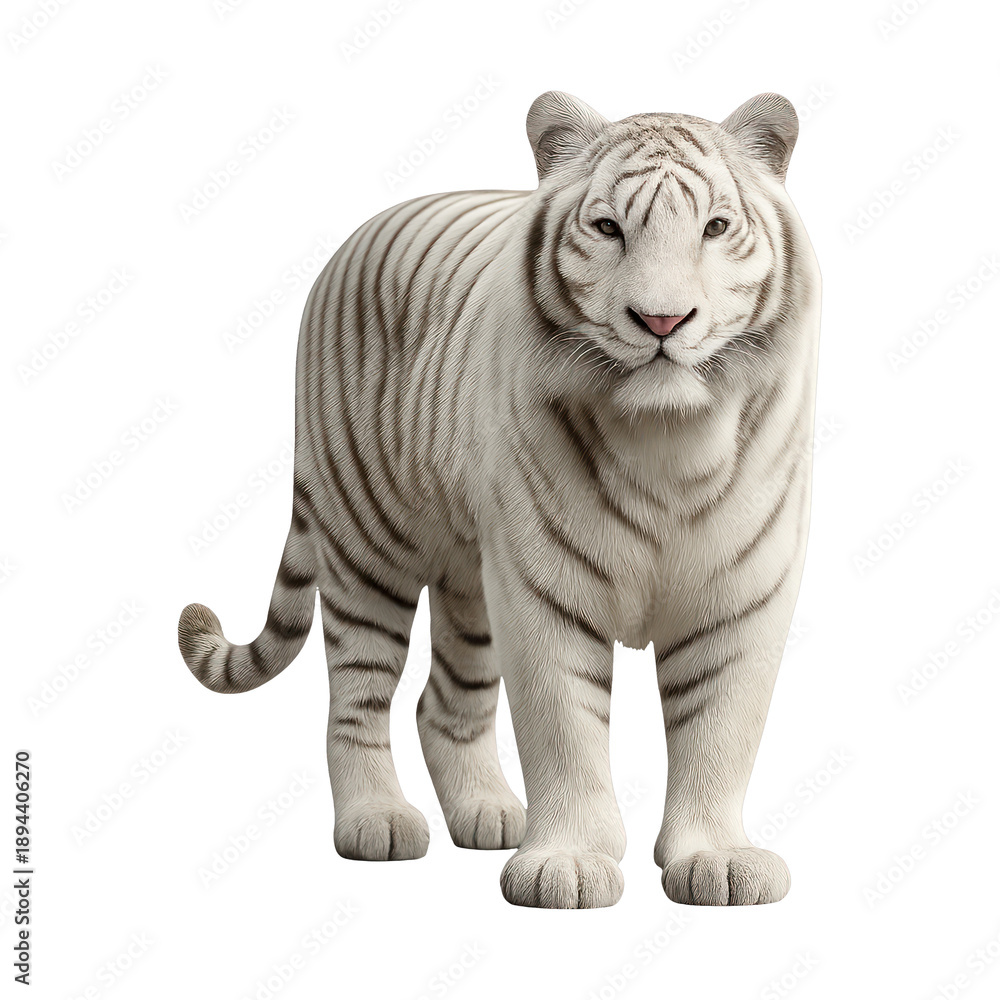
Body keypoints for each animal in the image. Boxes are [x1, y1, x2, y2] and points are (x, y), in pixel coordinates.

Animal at [178, 90, 821, 909]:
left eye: (714, 227)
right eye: (608, 228)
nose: (662, 322)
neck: (666, 438)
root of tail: (351, 241)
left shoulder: (740, 592)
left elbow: (721, 728)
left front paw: (718, 859)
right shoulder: (543, 586)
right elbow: (563, 726)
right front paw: (568, 865)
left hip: (470, 576)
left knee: (443, 702)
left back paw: (488, 814)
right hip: (365, 544)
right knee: (356, 696)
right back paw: (377, 820)